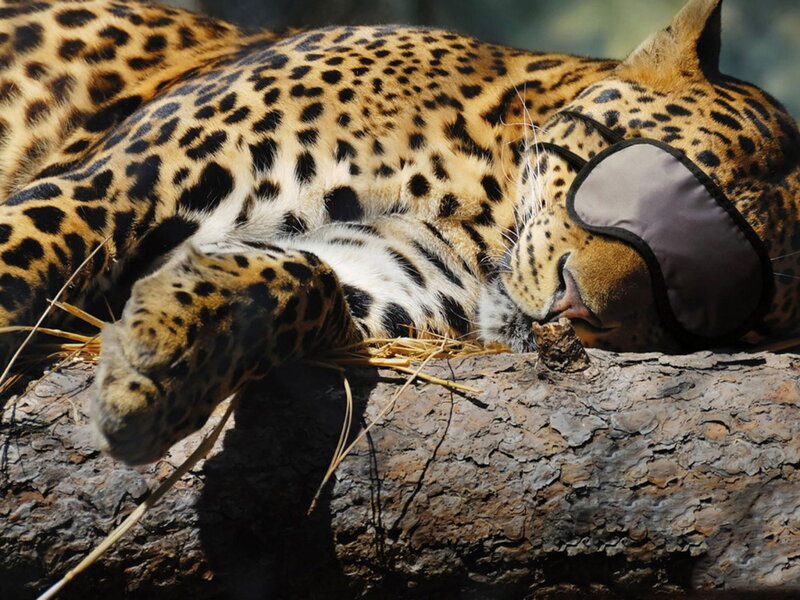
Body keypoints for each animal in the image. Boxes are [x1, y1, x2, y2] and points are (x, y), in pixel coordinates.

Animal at [0, 0, 796, 464]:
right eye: (628, 182)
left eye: (698, 300)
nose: (577, 305)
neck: (473, 198)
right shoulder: (119, 183)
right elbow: (27, 254)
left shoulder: (387, 273)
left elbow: (304, 275)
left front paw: (159, 360)